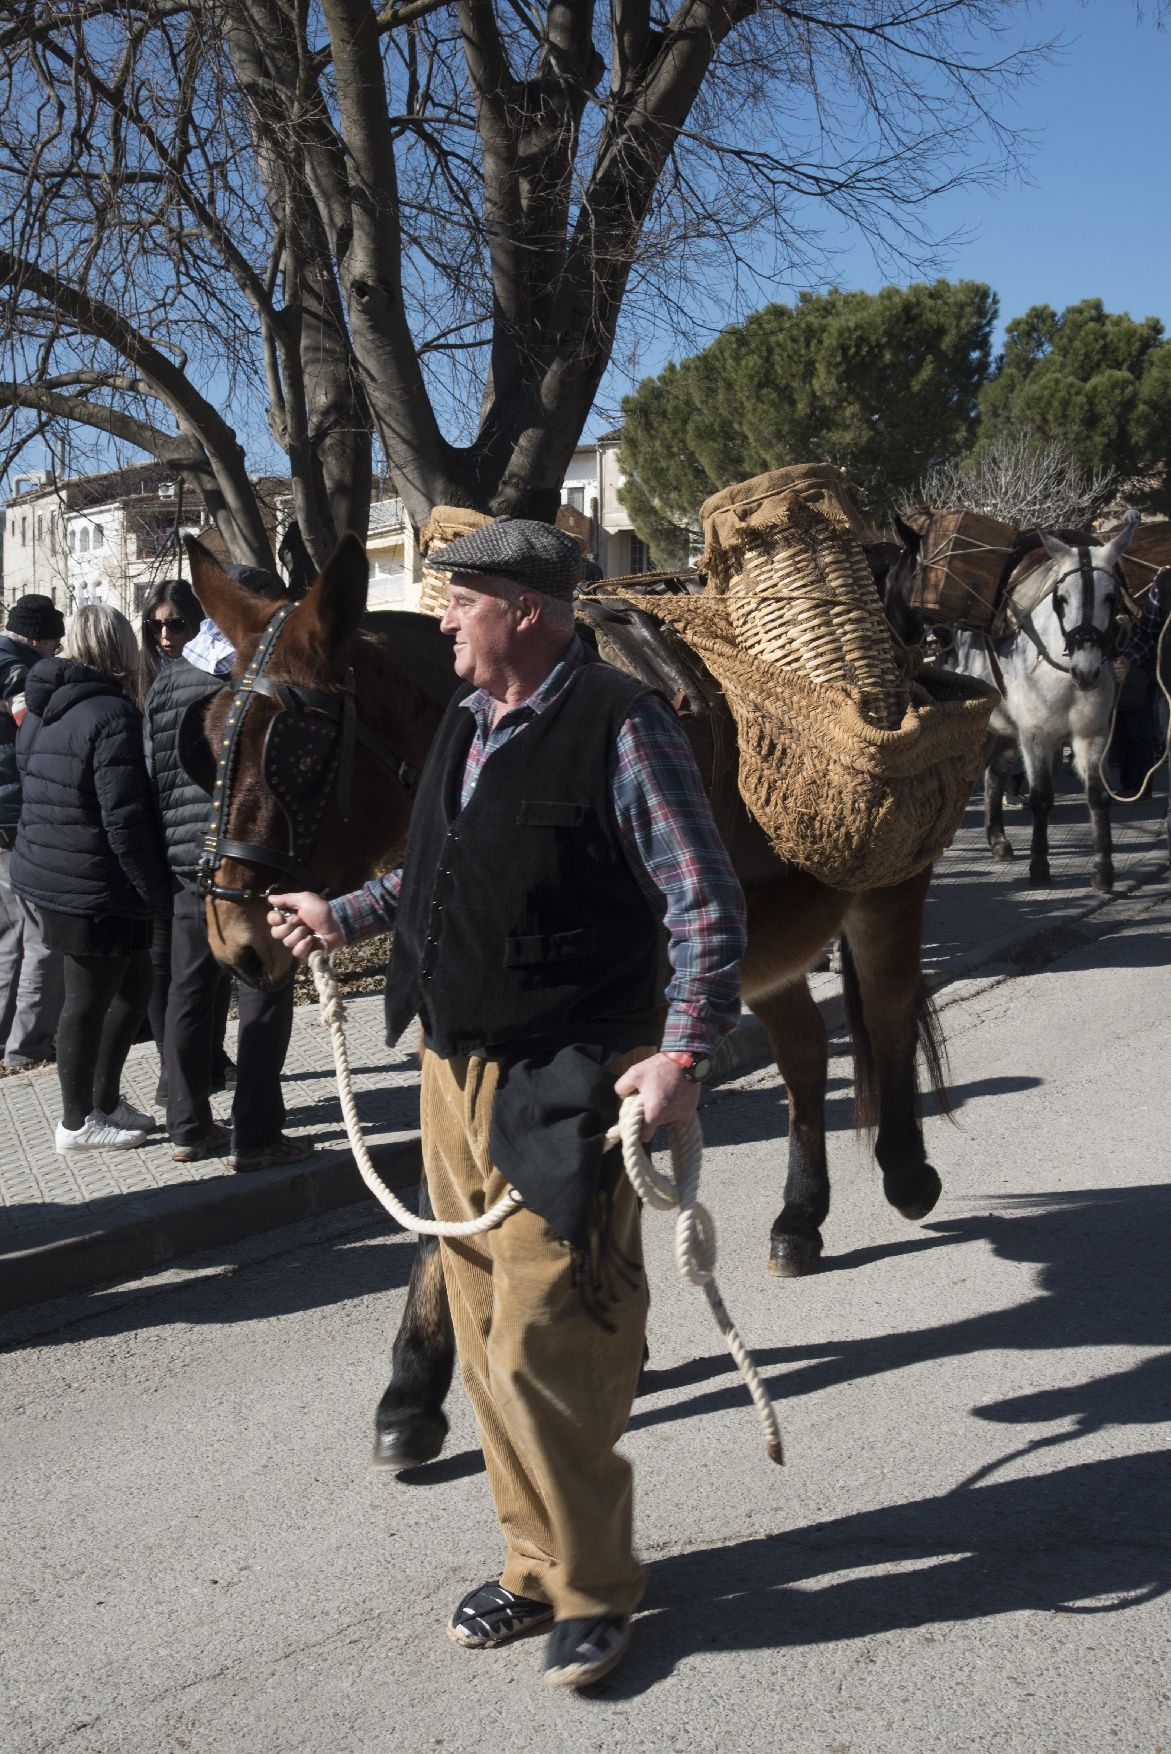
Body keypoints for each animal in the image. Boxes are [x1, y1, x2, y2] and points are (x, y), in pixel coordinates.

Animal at [932, 522, 1135, 891]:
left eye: (1111, 597)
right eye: (1061, 598)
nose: (1087, 671)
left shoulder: (1092, 734)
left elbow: (1098, 795)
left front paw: (1103, 869)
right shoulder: (1037, 737)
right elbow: (1042, 798)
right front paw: (1039, 865)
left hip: (1004, 730)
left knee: (994, 776)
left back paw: (998, 840)